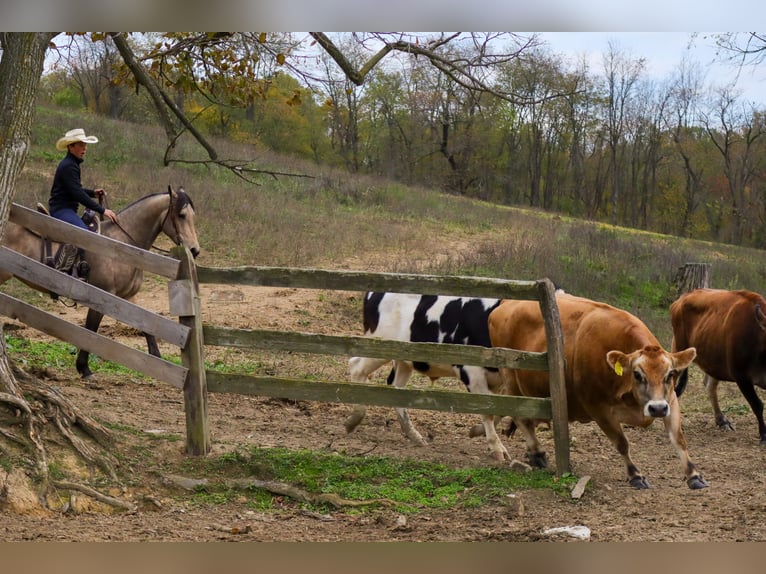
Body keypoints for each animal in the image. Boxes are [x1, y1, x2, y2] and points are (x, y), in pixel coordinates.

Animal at [0, 186, 201, 379]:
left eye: (193, 216)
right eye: (181, 215)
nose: (194, 250)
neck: (122, 247)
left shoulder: (128, 296)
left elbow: (146, 326)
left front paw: (156, 360)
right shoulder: (102, 297)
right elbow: (91, 330)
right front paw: (84, 368)